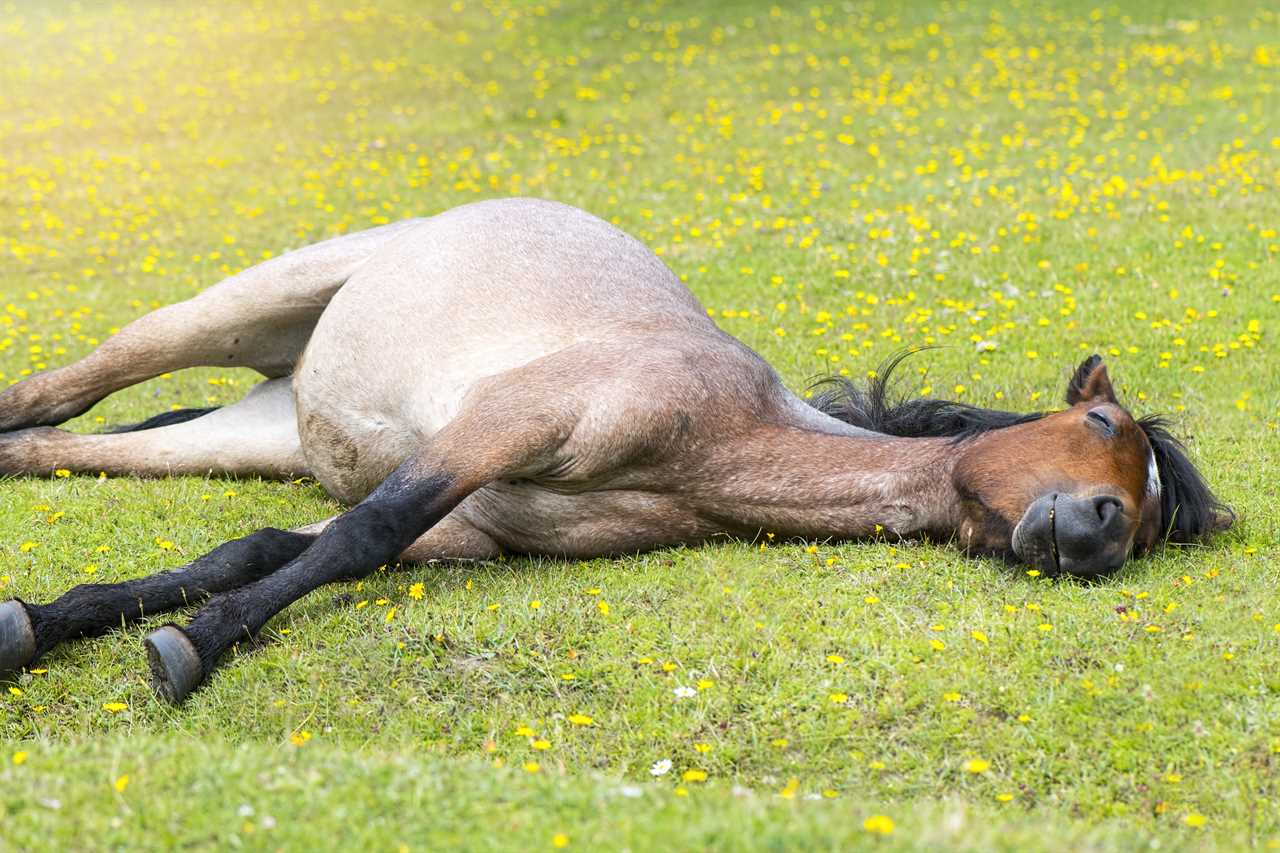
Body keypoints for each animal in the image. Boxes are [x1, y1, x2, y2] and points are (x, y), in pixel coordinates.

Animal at [0, 195, 1228, 701]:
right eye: (1103, 428)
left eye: (1151, 518)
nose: (1098, 529)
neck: (723, 440)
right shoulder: (503, 427)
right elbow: (360, 535)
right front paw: (193, 648)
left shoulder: (474, 531)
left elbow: (254, 550)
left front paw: (51, 625)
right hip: (230, 311)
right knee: (73, 383)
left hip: (254, 434)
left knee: (77, 446)